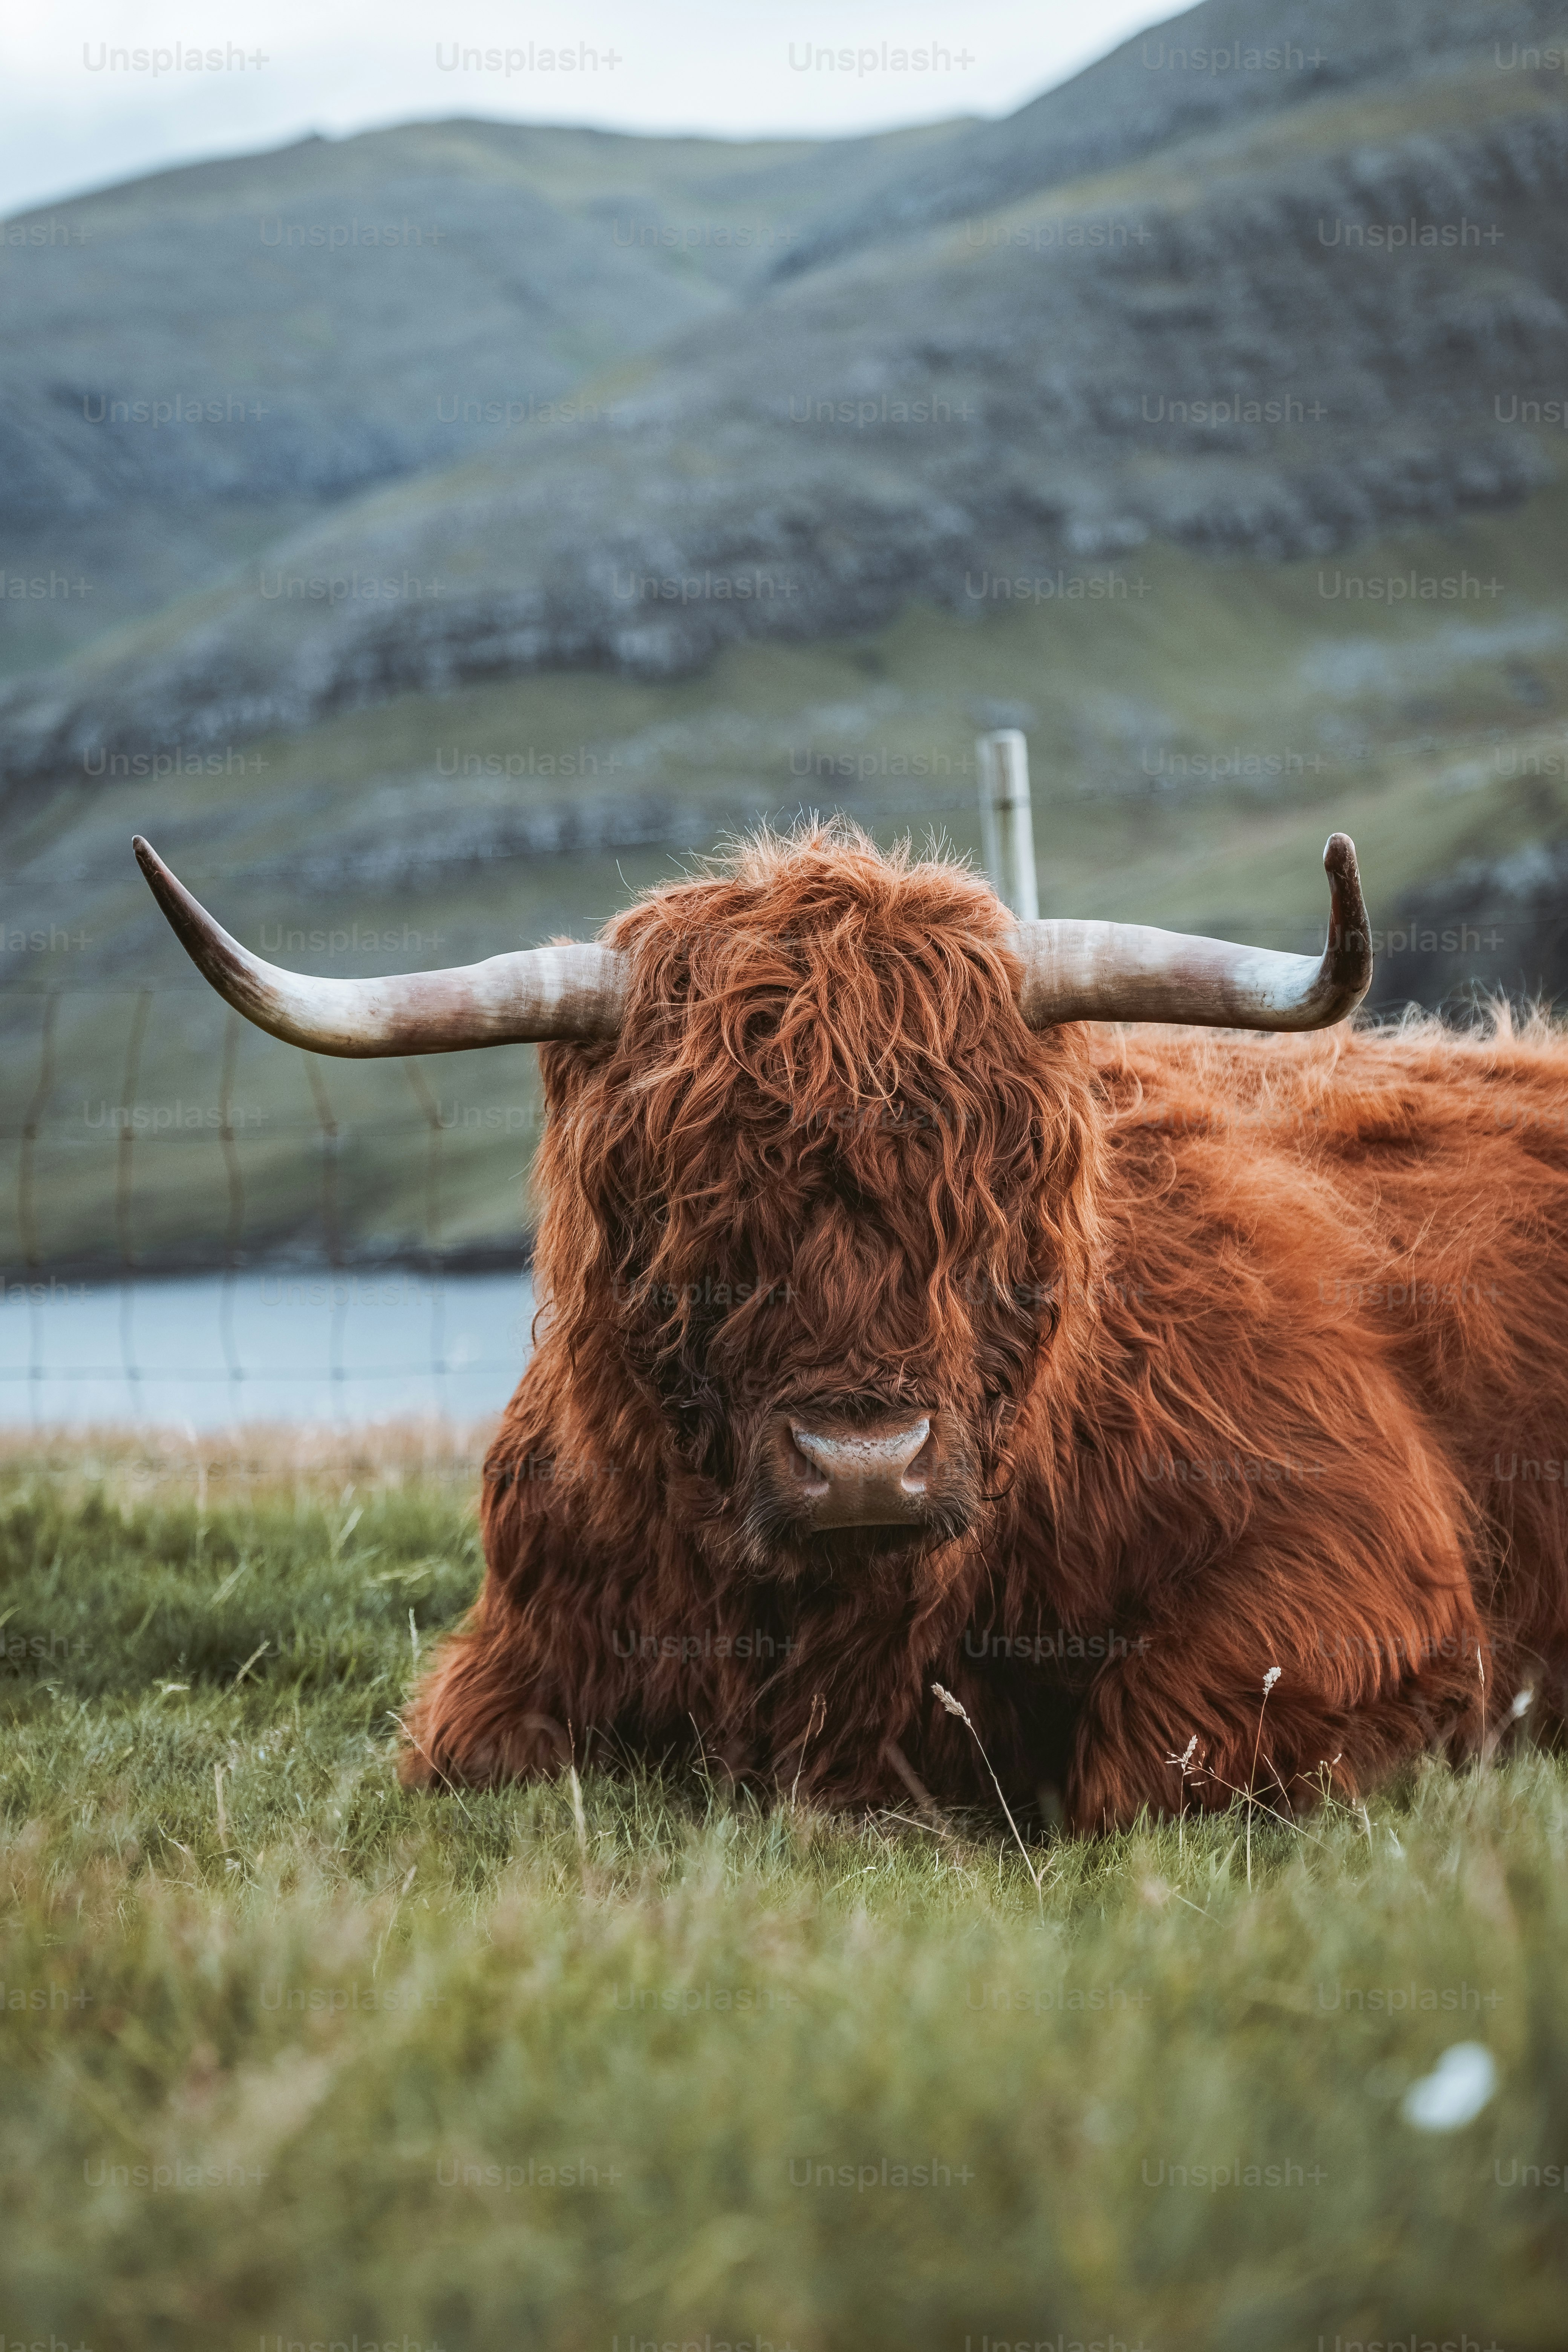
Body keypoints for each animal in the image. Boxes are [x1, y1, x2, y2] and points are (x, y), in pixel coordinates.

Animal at [133, 823, 1568, 1832]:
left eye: (994, 1183)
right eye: (690, 1196)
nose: (866, 1465)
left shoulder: (1352, 1568)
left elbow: (1152, 1762)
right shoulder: (519, 1658)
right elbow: (473, 1762)